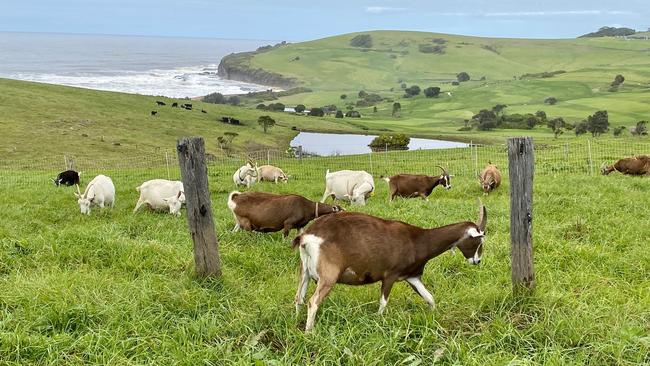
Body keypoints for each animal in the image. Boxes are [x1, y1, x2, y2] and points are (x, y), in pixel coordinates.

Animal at [292, 200, 484, 332]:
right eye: (479, 240)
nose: (477, 261)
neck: (418, 240)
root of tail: (307, 236)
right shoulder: (390, 275)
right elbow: (383, 302)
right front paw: (378, 321)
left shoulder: (412, 276)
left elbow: (430, 298)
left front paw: (434, 316)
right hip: (328, 275)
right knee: (313, 302)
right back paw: (309, 332)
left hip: (305, 271)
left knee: (299, 298)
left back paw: (296, 320)